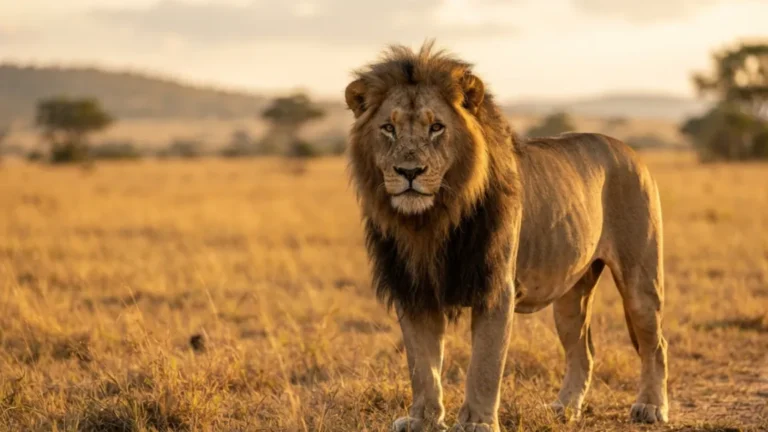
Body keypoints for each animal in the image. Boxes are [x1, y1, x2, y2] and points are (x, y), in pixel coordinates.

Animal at [345, 42, 669, 432]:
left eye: (436, 127)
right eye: (388, 128)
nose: (409, 172)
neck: (431, 222)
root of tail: (630, 150)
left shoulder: (495, 287)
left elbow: (484, 364)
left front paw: (476, 423)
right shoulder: (414, 288)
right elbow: (422, 366)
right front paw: (422, 419)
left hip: (640, 281)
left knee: (656, 344)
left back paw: (650, 407)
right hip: (571, 293)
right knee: (583, 349)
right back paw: (565, 408)